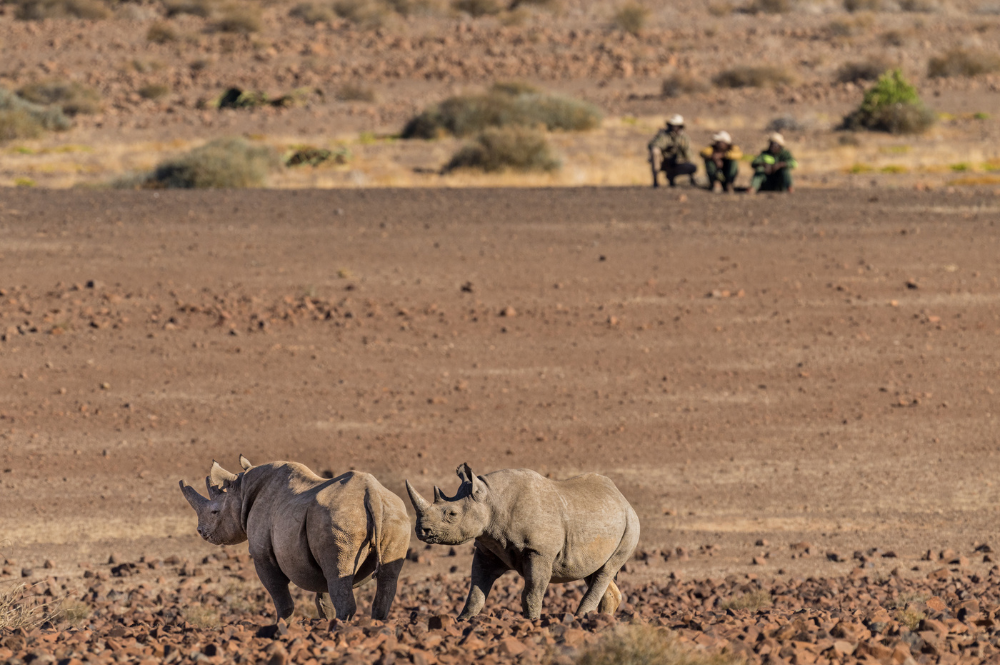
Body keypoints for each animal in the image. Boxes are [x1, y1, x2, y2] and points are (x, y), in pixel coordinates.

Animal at [180, 456, 410, 624]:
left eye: (215, 512)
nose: (201, 531)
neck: (242, 491)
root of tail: (372, 494)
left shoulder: (262, 556)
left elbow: (281, 597)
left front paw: (282, 627)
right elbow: (323, 597)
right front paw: (324, 622)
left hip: (341, 518)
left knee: (339, 575)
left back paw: (342, 628)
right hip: (394, 514)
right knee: (386, 577)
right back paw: (377, 624)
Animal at [402, 464, 636, 620]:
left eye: (452, 514)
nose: (421, 530)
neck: (491, 499)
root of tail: (622, 498)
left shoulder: (538, 551)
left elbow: (532, 592)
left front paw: (532, 622)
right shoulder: (487, 548)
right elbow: (475, 591)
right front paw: (464, 620)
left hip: (631, 524)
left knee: (606, 569)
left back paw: (580, 617)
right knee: (593, 571)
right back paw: (602, 620)